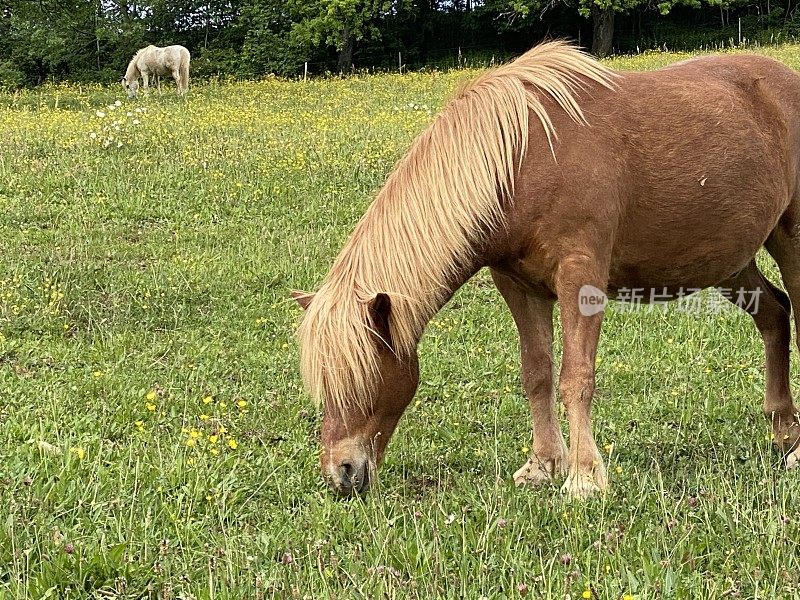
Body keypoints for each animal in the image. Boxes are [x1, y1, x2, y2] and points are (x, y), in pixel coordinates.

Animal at [290, 42, 800, 500]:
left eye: (361, 378)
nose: (341, 474)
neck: (520, 160)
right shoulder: (519, 286)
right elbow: (537, 373)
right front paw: (543, 465)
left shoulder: (580, 277)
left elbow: (577, 376)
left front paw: (584, 477)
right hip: (729, 263)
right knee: (775, 314)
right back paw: (784, 433)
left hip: (789, 238)